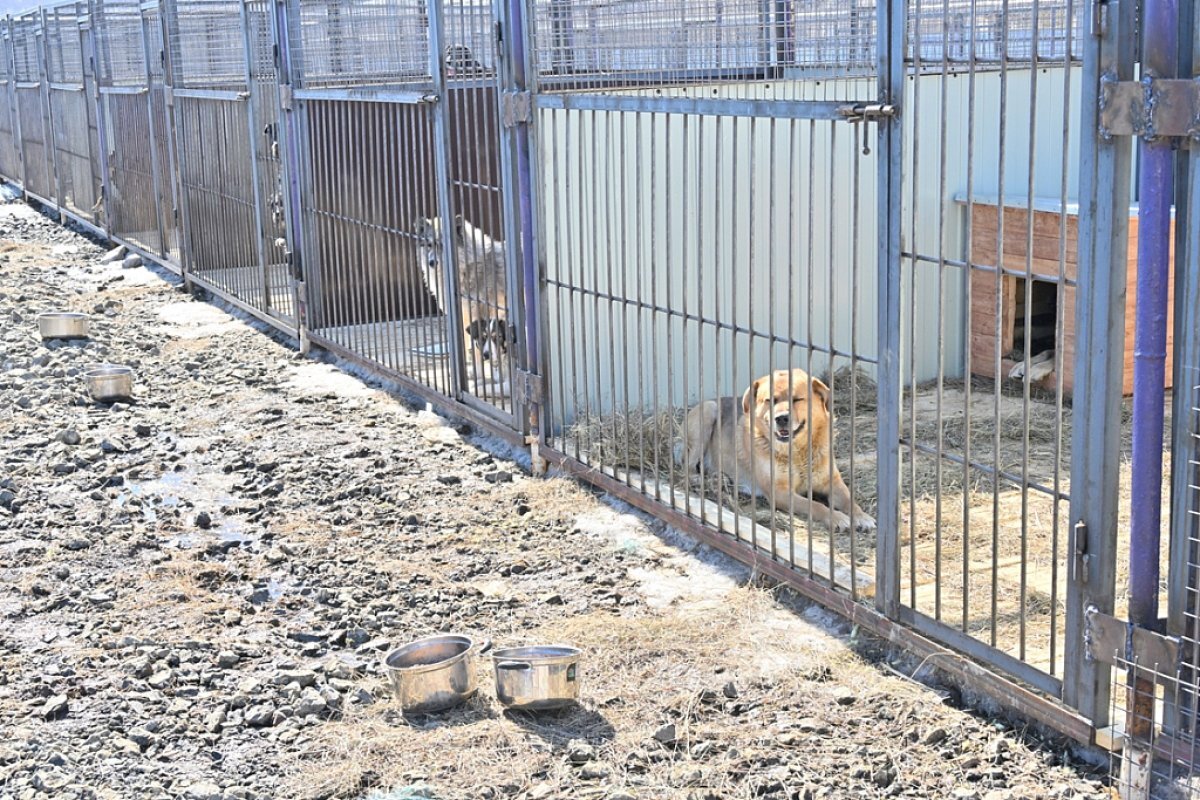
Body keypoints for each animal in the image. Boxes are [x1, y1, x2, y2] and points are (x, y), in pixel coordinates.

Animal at [681, 367, 878, 532]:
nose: (781, 418)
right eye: (769, 400)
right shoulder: (780, 493)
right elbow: (815, 505)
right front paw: (836, 517)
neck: (798, 453)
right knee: (688, 467)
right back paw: (702, 479)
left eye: (797, 399)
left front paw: (862, 516)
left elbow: (849, 500)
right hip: (708, 412)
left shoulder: (832, 482)